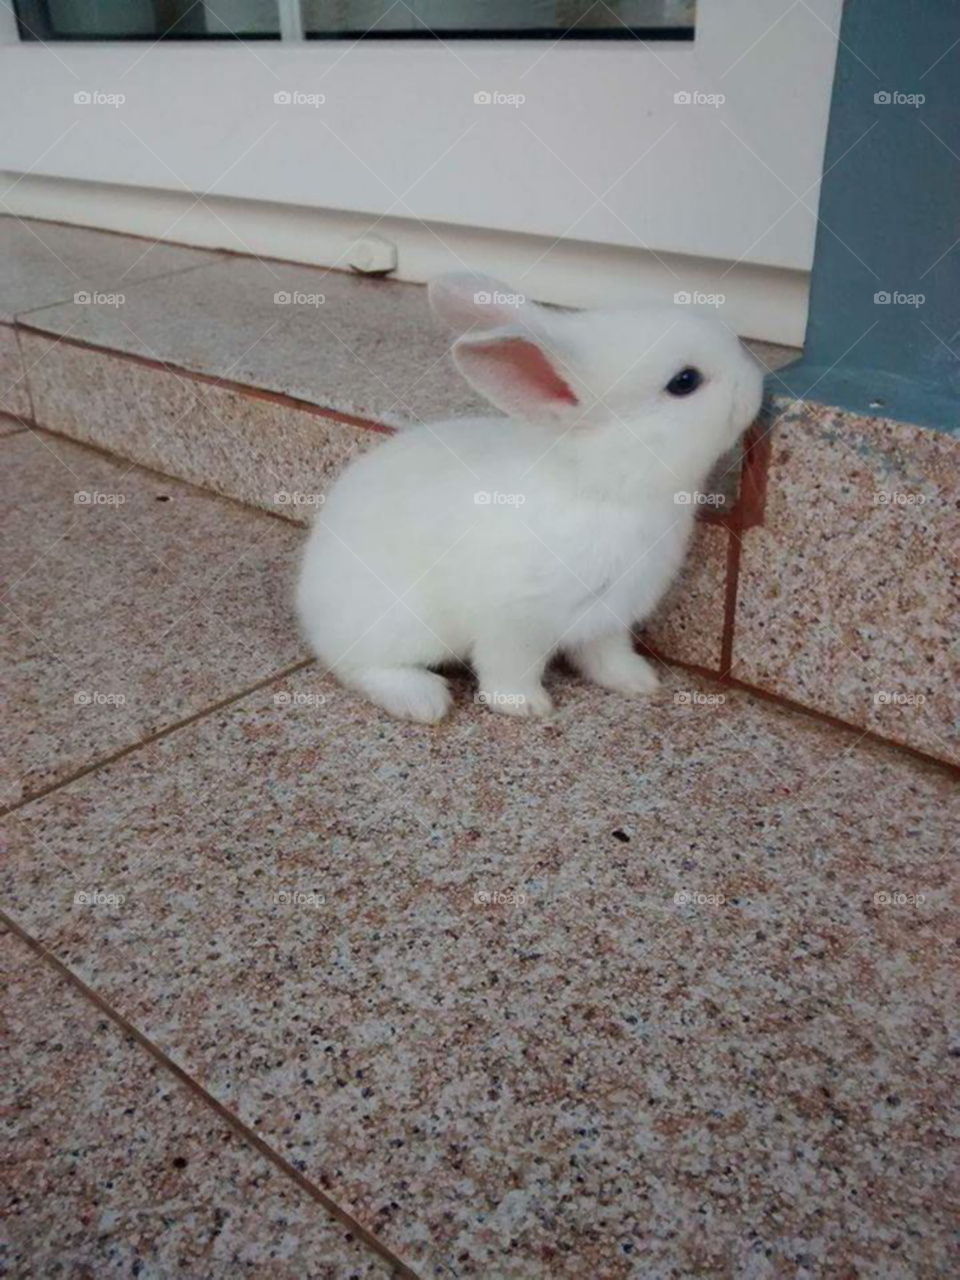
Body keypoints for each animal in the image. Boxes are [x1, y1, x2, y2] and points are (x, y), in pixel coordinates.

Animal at [296, 273, 763, 724]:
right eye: (684, 382)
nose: (758, 383)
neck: (603, 483)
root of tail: (309, 597)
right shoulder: (514, 622)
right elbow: (508, 667)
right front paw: (525, 706)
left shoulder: (608, 615)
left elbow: (606, 654)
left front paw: (637, 681)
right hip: (399, 624)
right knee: (355, 665)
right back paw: (423, 701)